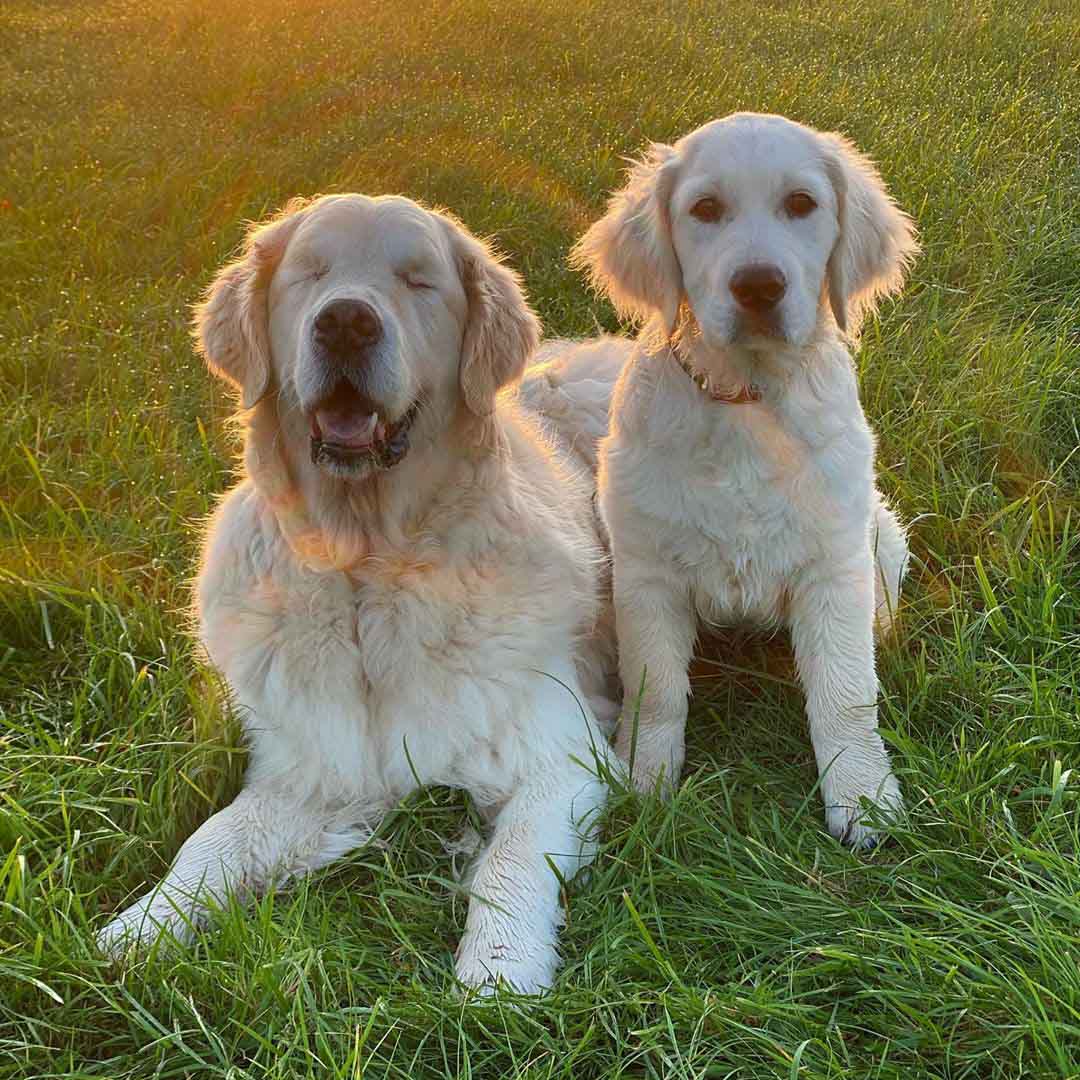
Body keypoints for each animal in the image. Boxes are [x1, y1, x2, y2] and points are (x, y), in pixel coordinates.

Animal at [98, 190, 622, 989]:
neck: (369, 570)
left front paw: (497, 974)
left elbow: (510, 863)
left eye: (417, 280)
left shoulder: (561, 756)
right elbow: (210, 842)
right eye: (310, 272)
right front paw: (138, 931)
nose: (345, 322)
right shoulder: (313, 767)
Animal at [565, 111, 920, 851]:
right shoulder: (646, 574)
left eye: (802, 204)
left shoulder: (831, 567)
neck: (748, 398)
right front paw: (645, 784)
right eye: (704, 210)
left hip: (880, 530)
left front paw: (862, 798)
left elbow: (845, 693)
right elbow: (656, 690)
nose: (758, 286)